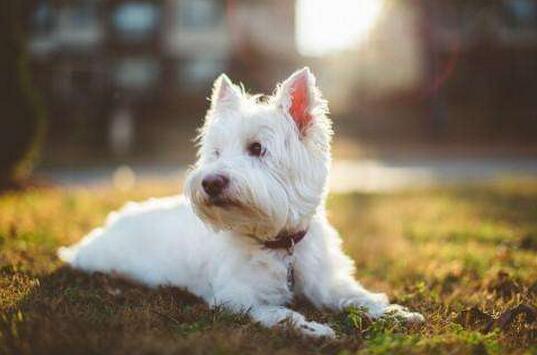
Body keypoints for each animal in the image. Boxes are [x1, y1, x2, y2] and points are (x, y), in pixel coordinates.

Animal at [59, 68, 422, 338]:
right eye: (216, 152)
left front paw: (394, 312)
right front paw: (313, 328)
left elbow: (356, 296)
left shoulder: (326, 281)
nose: (210, 182)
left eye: (257, 148)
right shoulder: (238, 297)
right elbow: (280, 312)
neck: (279, 245)